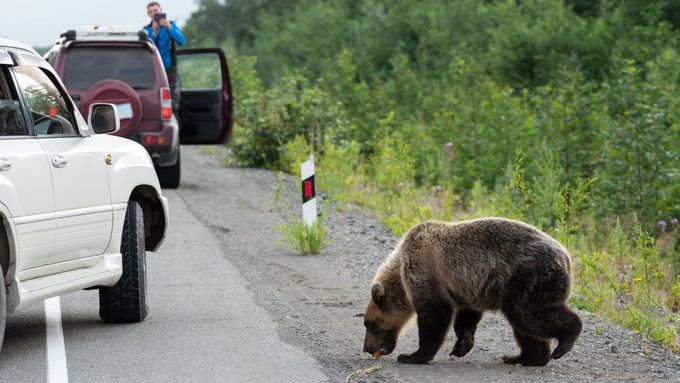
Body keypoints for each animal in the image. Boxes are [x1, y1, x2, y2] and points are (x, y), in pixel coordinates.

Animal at [364, 218, 580, 368]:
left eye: (369, 324)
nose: (367, 348)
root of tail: (567, 259)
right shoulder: (470, 287)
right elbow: (466, 316)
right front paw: (461, 345)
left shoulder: (425, 269)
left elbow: (435, 313)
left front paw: (412, 356)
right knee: (526, 327)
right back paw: (522, 357)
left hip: (527, 278)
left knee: (528, 316)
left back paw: (565, 342)